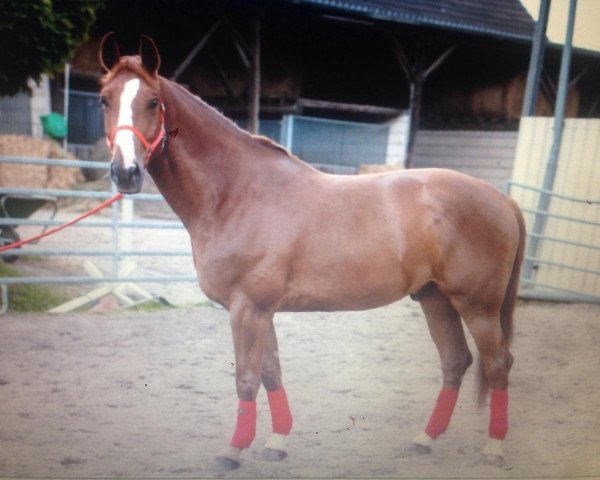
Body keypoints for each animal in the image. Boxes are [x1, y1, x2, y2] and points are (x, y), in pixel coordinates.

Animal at [98, 35, 524, 470]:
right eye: (104, 100)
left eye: (153, 101)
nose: (125, 173)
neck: (237, 192)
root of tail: (501, 199)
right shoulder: (261, 310)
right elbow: (271, 373)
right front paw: (277, 442)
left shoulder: (247, 308)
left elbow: (246, 379)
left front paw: (233, 450)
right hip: (435, 298)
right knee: (455, 361)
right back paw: (424, 439)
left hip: (477, 306)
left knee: (497, 363)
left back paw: (494, 448)